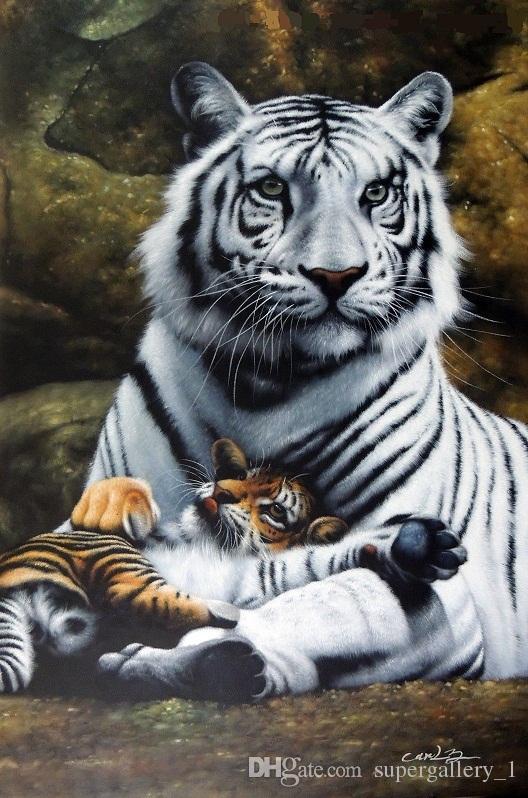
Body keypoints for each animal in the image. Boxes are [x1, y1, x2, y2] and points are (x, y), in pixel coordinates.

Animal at [1, 438, 465, 693]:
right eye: (236, 474)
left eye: (274, 509)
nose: (220, 491)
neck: (203, 543)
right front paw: (120, 503)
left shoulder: (257, 577)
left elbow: (313, 559)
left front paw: (411, 546)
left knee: (137, 616)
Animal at [72, 62, 526, 702]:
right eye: (271, 189)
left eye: (376, 193)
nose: (336, 275)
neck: (270, 385)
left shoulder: (446, 596)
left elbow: (305, 601)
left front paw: (174, 656)